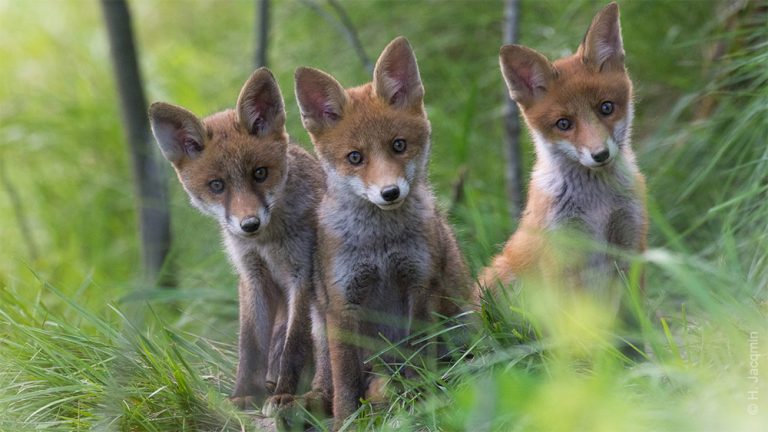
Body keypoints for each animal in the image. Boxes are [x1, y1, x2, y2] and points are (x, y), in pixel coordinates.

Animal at [150, 69, 328, 410]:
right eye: (217, 185)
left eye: (259, 173)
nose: (249, 224)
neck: (267, 243)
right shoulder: (251, 274)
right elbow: (250, 345)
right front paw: (243, 394)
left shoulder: (302, 274)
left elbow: (295, 345)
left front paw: (284, 393)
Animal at [296, 37, 472, 422]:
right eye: (355, 158)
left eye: (398, 145)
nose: (389, 192)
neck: (381, 245)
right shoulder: (343, 302)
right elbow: (346, 383)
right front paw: (346, 423)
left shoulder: (420, 286)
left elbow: (418, 357)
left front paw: (422, 405)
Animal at [480, 3, 648, 296]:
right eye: (564, 124)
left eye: (606, 107)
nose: (600, 154)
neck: (597, 205)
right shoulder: (562, 261)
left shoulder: (631, 244)